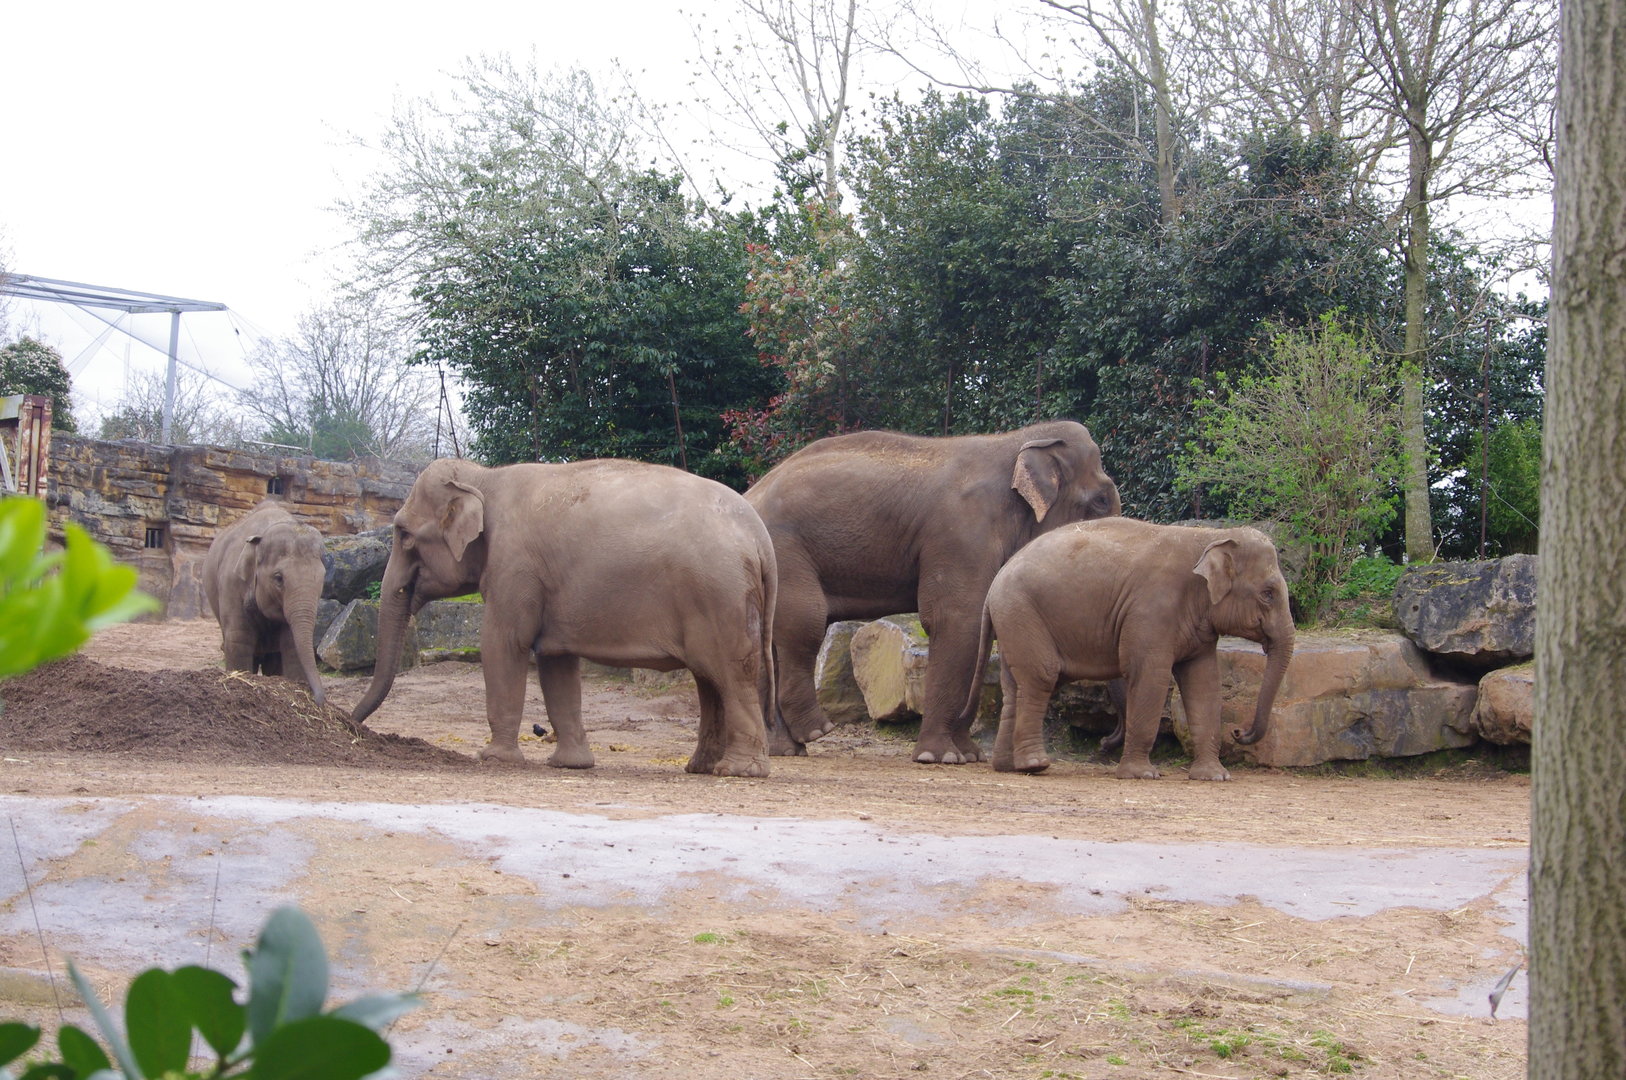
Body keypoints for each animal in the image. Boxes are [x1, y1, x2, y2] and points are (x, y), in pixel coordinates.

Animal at [202, 499, 329, 706]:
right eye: (278, 578)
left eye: (323, 578)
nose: (319, 700)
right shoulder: (231, 585)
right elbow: (239, 641)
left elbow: (291, 645)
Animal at [349, 458, 777, 778]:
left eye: (403, 534)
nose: (353, 724)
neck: (483, 476)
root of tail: (759, 535)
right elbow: (556, 662)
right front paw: (571, 765)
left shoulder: (515, 566)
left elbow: (503, 643)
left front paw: (494, 759)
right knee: (710, 680)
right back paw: (700, 767)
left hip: (720, 595)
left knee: (731, 674)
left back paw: (738, 771)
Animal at [744, 420, 1121, 765]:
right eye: (1101, 502)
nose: (1104, 746)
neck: (1013, 442)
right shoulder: (961, 533)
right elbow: (957, 620)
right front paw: (941, 757)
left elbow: (980, 626)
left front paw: (968, 756)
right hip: (783, 550)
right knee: (804, 624)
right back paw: (816, 731)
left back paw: (785, 749)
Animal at [973, 517, 1295, 780]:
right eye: (1268, 594)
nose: (1238, 731)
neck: (1209, 537)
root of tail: (992, 587)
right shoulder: (1151, 610)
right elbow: (1149, 676)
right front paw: (1143, 774)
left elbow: (1203, 684)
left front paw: (1215, 777)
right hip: (1021, 612)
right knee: (1041, 676)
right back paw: (1036, 765)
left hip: (1014, 619)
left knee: (1013, 686)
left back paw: (1008, 766)